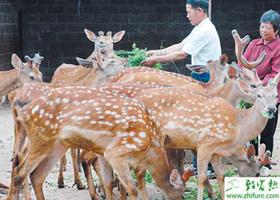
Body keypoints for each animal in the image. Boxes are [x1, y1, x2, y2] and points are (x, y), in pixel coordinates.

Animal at [7, 86, 184, 200]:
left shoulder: (104, 152)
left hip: (57, 145)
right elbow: (131, 188)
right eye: (182, 192)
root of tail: (24, 113)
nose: (182, 197)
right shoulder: (116, 152)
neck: (149, 144)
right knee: (20, 171)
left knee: (35, 175)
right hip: (41, 137)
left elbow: (109, 182)